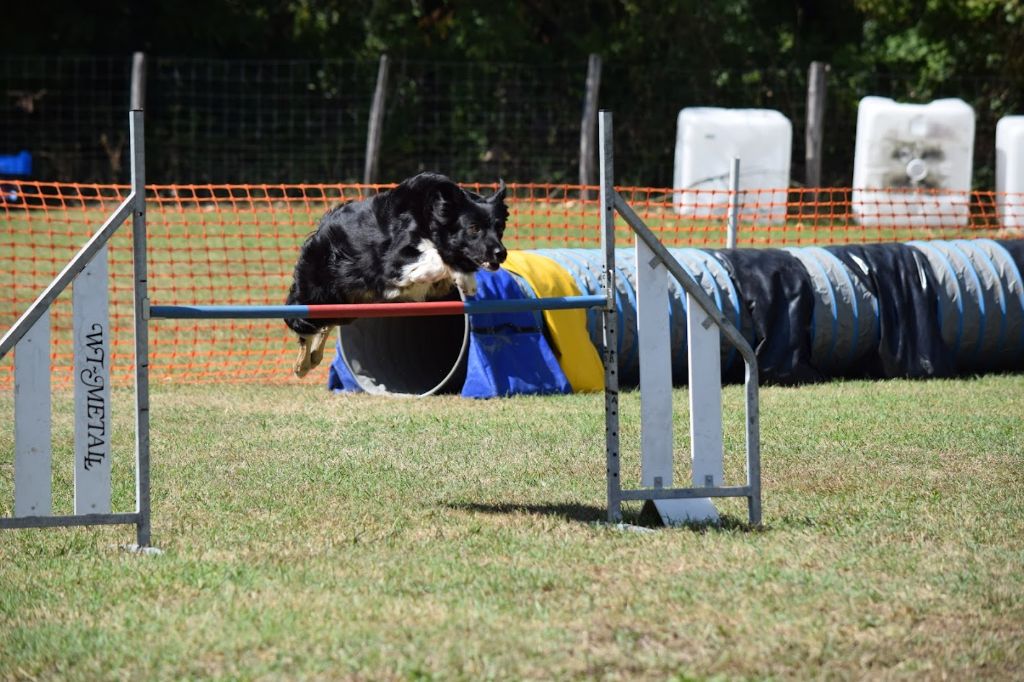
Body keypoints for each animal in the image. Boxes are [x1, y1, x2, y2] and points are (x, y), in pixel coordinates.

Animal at [284, 168, 507, 372]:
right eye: (474, 228)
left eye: (500, 228)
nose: (501, 253)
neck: (431, 216)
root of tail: (322, 227)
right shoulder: (392, 261)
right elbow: (435, 259)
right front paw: (451, 275)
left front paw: (466, 279)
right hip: (316, 293)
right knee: (300, 323)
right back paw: (302, 364)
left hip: (348, 304)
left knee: (326, 324)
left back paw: (314, 357)